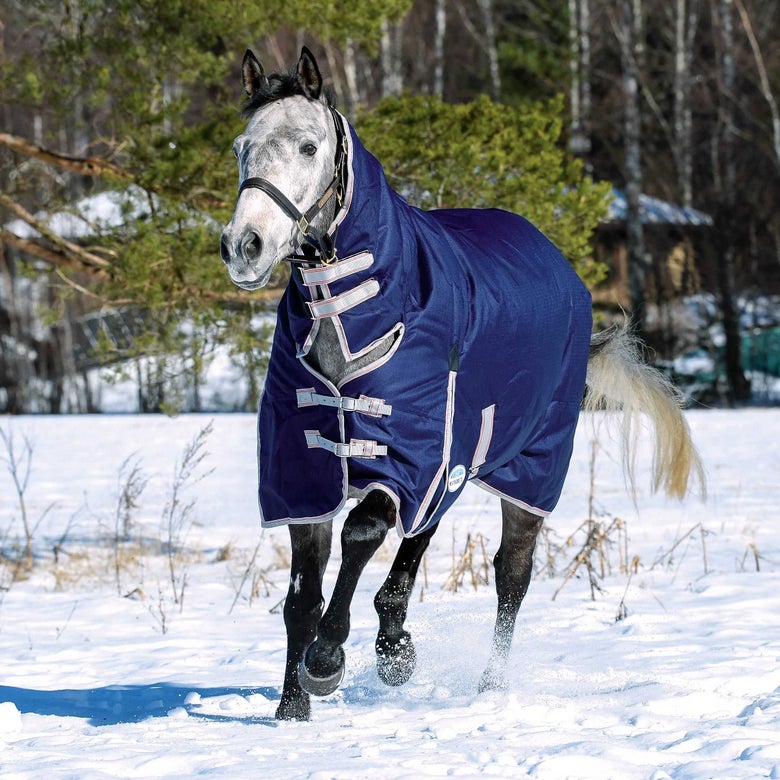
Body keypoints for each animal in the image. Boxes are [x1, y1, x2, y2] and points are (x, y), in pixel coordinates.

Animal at [220, 47, 704, 721]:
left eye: (309, 147)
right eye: (242, 147)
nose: (245, 246)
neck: (352, 312)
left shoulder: (410, 454)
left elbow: (362, 532)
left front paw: (327, 661)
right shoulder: (307, 469)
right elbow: (301, 592)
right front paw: (293, 708)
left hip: (526, 468)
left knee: (511, 573)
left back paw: (487, 686)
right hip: (456, 457)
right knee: (420, 541)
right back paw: (395, 644)